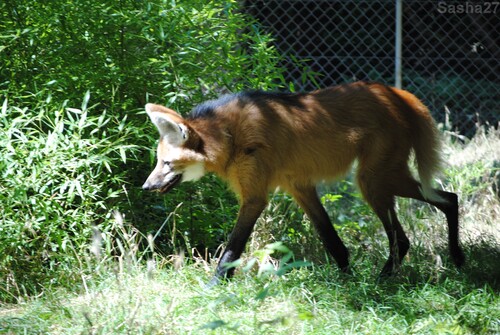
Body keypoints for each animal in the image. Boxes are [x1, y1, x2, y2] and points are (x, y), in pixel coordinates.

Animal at [142, 82, 464, 284]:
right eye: (158, 162)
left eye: (166, 163)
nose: (146, 187)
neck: (229, 137)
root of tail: (400, 95)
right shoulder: (299, 186)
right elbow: (332, 240)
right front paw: (347, 282)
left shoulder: (255, 195)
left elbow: (232, 248)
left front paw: (213, 287)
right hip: (384, 176)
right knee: (449, 198)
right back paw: (455, 261)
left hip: (372, 180)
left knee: (406, 233)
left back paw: (387, 278)